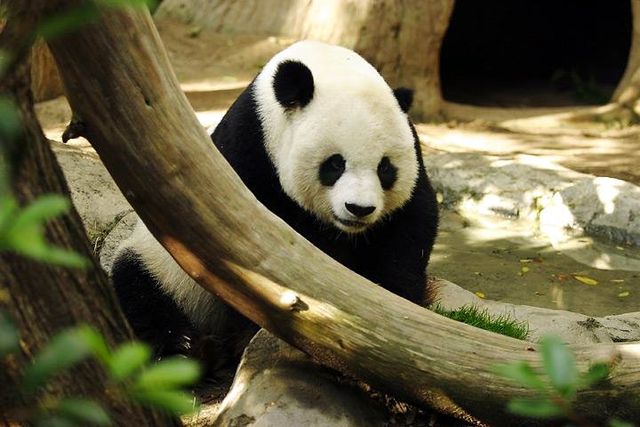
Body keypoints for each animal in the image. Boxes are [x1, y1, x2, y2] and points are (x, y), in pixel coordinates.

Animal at [111, 41, 439, 368]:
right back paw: (185, 347)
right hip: (160, 265)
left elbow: (411, 224)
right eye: (335, 164)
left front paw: (392, 301)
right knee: (139, 290)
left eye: (385, 168)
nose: (359, 209)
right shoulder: (248, 155)